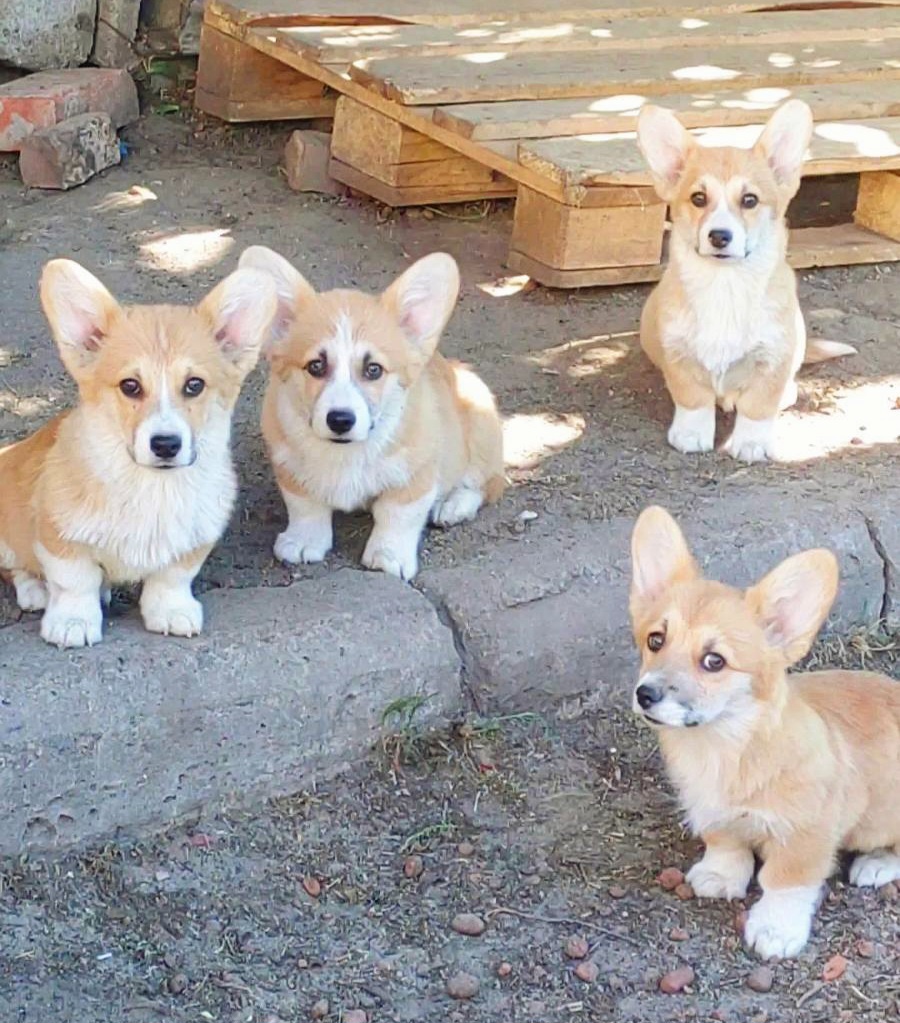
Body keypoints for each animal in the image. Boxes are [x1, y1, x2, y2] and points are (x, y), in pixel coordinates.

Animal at [0, 259, 278, 650]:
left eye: (194, 385)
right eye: (130, 386)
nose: (166, 444)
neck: (151, 487)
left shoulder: (195, 539)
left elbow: (172, 578)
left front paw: (171, 610)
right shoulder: (58, 535)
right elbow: (75, 581)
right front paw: (73, 620)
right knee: (14, 567)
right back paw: (36, 590)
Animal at [237, 243, 507, 581]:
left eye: (373, 369)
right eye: (316, 366)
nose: (340, 420)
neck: (346, 453)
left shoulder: (415, 472)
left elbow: (397, 515)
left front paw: (388, 555)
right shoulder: (290, 465)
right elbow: (305, 506)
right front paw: (303, 541)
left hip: (481, 425)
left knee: (484, 483)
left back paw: (453, 506)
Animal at [630, 507, 900, 961]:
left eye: (714, 661)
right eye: (655, 640)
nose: (645, 695)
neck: (726, 744)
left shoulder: (806, 834)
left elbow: (785, 881)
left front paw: (776, 927)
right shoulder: (715, 815)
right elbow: (726, 844)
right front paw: (721, 874)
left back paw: (877, 862)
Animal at [638, 100, 855, 464]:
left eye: (750, 200)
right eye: (698, 198)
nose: (719, 236)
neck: (725, 284)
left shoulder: (773, 356)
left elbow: (759, 405)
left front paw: (752, 443)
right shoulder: (678, 353)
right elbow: (692, 398)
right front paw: (691, 435)